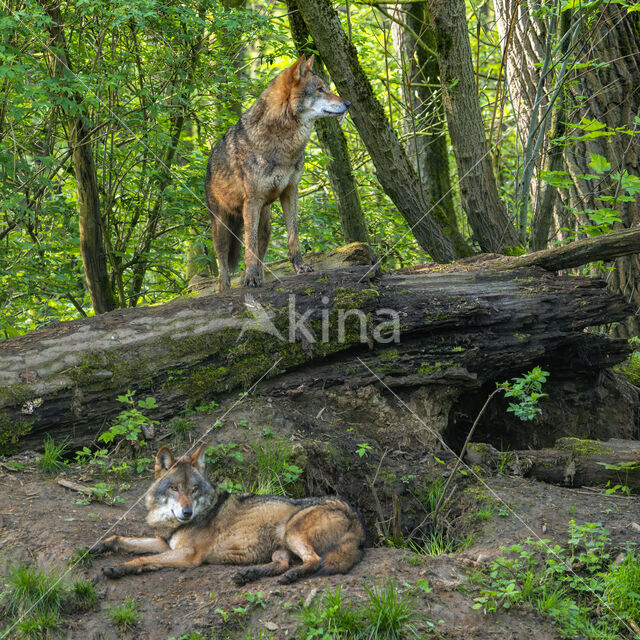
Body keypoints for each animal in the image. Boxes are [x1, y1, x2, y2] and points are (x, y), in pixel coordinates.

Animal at [94, 444, 364, 584]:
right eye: (175, 488)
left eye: (194, 489)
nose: (187, 512)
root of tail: (353, 512)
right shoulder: (165, 544)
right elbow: (122, 539)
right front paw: (98, 547)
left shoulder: (187, 555)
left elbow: (141, 559)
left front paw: (118, 568)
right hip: (281, 546)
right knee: (280, 563)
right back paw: (249, 574)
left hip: (292, 533)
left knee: (314, 560)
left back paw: (291, 576)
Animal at [205, 55, 350, 290]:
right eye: (320, 89)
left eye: (326, 88)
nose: (348, 103)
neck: (284, 142)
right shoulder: (252, 201)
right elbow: (249, 246)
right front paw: (250, 278)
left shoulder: (291, 191)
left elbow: (293, 235)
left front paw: (300, 266)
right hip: (223, 227)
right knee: (223, 266)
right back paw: (225, 288)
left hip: (266, 225)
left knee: (261, 256)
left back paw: (262, 278)